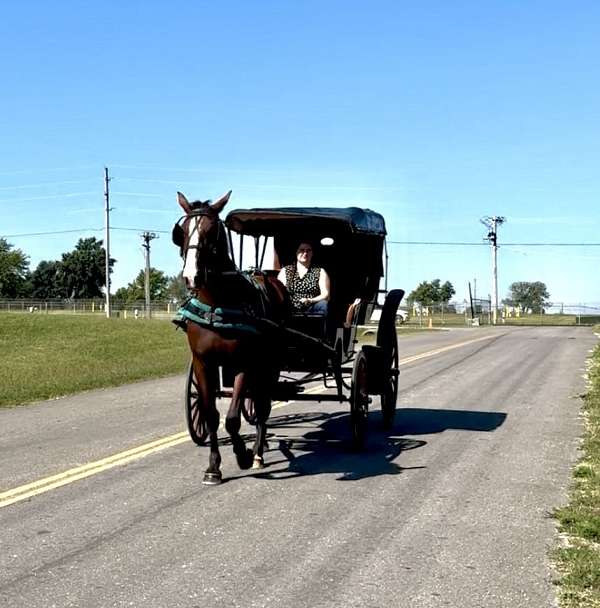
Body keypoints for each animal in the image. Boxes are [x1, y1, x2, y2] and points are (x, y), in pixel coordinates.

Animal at [172, 190, 290, 484]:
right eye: (183, 231)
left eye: (211, 230)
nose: (191, 276)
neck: (217, 305)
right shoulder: (203, 363)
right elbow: (211, 415)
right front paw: (213, 467)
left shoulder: (243, 363)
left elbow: (233, 418)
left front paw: (244, 455)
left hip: (269, 363)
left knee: (263, 405)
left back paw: (258, 452)